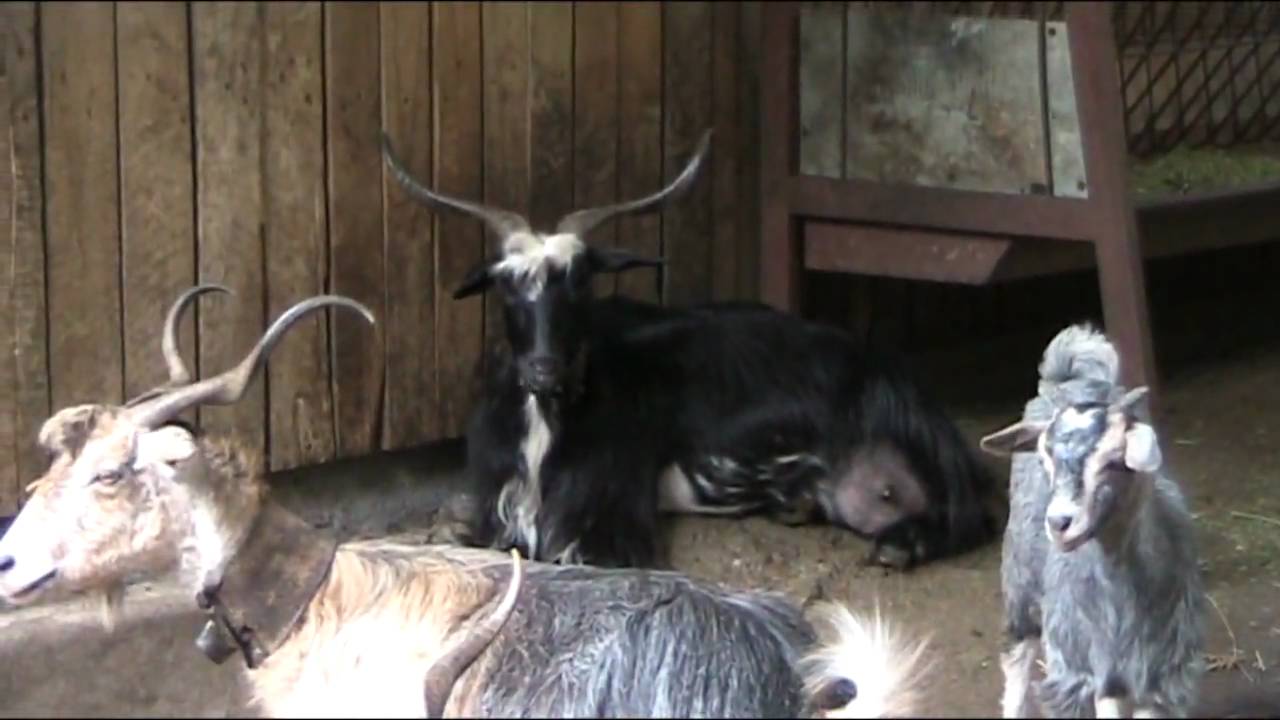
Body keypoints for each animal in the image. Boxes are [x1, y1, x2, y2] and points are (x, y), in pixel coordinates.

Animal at [381, 129, 1000, 571]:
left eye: (580, 282)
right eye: (507, 285)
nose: (543, 369)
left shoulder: (613, 515)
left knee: (974, 509)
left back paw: (899, 545)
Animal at [979, 324, 1206, 719]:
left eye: (1115, 460)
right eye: (1044, 460)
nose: (1059, 522)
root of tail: (1068, 381)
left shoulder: (1160, 677)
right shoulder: (1080, 670)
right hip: (1020, 583)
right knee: (1016, 660)